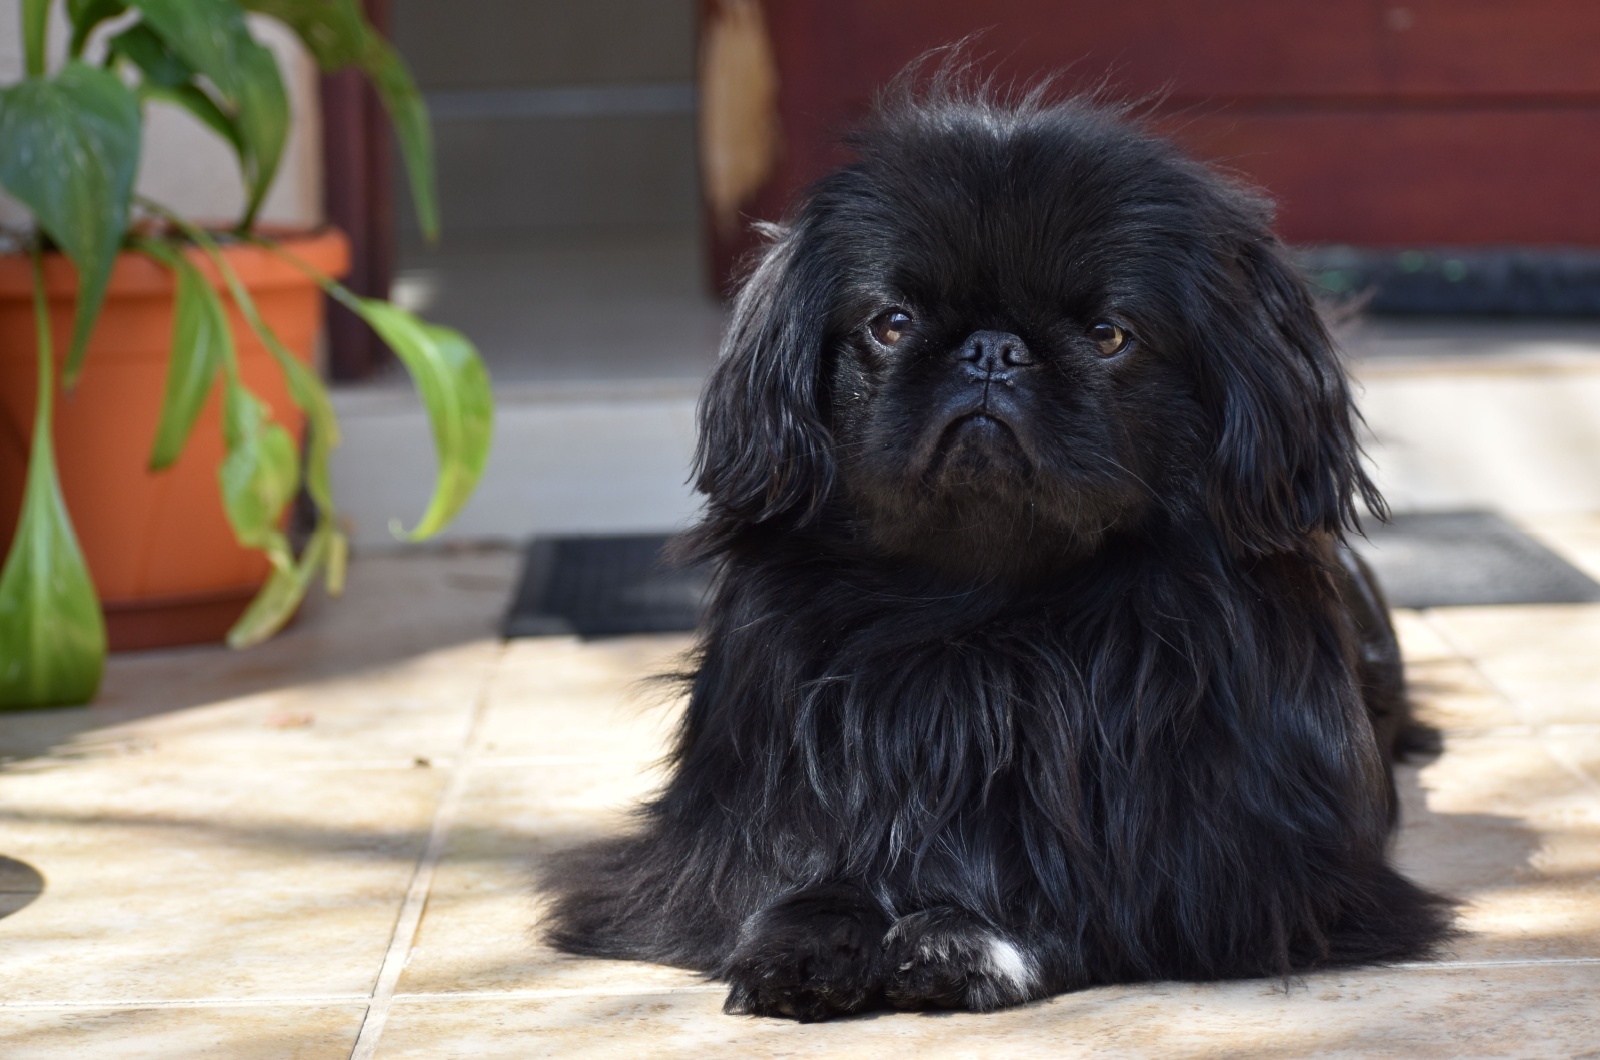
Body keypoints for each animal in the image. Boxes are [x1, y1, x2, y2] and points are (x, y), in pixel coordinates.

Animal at [544, 72, 1459, 1024]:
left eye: (1108, 335)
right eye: (892, 323)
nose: (992, 348)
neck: (984, 609)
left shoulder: (1243, 870)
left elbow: (1089, 889)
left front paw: (964, 936)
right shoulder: (746, 817)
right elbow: (788, 868)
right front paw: (806, 941)